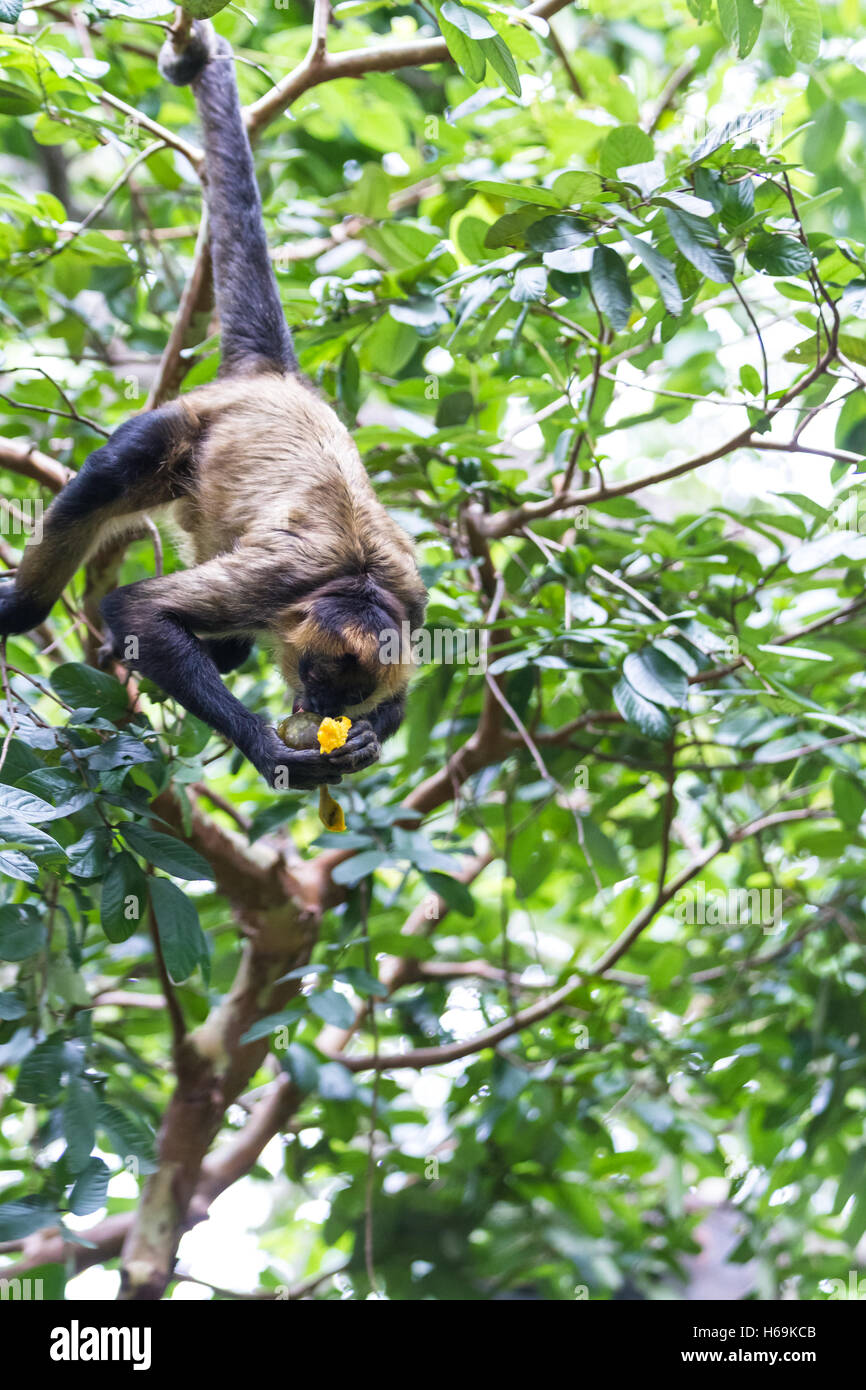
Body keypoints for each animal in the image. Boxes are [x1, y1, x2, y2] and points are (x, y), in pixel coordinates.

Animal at [0, 21, 427, 791]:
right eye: (317, 675)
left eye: (348, 694)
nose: (319, 706)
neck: (356, 578)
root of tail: (274, 377)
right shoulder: (276, 583)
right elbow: (139, 610)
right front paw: (267, 748)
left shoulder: (409, 606)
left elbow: (401, 693)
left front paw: (364, 742)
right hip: (182, 433)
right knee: (114, 476)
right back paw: (22, 608)